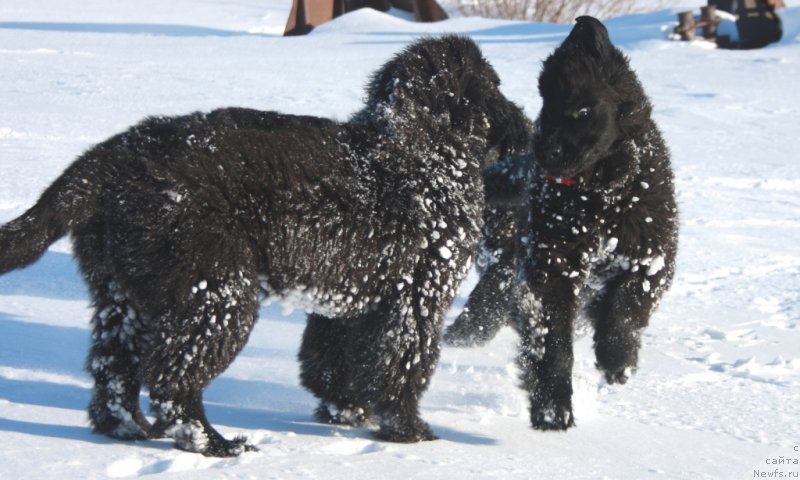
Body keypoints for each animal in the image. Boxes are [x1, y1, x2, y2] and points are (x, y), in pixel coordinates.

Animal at [0, 35, 528, 456]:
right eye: (493, 86)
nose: (525, 126)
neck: (425, 154)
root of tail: (106, 161)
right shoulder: (416, 295)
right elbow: (402, 365)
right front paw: (409, 431)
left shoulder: (350, 301)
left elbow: (332, 362)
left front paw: (345, 412)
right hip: (215, 292)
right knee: (174, 380)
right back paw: (214, 444)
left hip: (126, 296)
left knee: (112, 371)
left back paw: (127, 430)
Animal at [444, 17, 676, 432]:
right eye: (545, 103)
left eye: (583, 110)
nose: (545, 152)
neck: (598, 193)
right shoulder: (551, 266)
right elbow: (552, 343)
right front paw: (553, 411)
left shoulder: (651, 252)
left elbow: (627, 304)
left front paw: (618, 360)